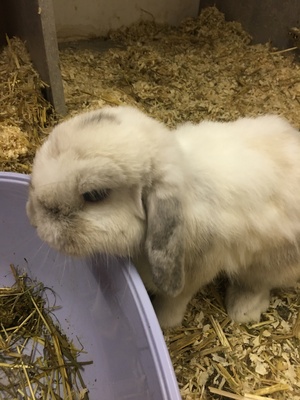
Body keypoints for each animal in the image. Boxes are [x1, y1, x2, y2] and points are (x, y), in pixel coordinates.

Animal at [25, 105, 300, 328]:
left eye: (94, 195)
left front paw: (162, 322)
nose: (33, 217)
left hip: (269, 262)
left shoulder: (196, 272)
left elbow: (174, 300)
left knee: (258, 284)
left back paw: (242, 310)